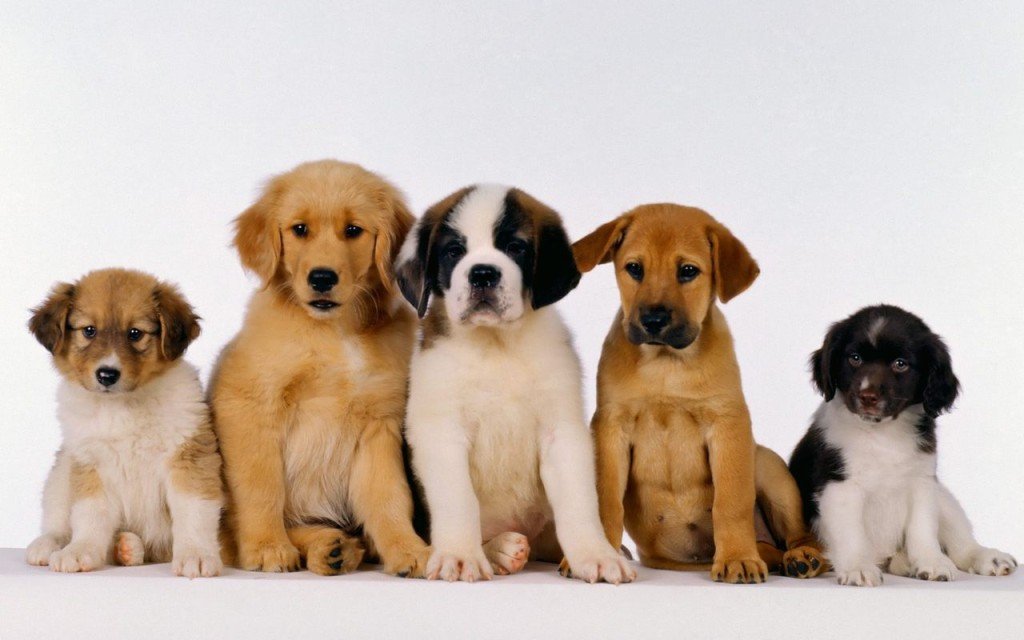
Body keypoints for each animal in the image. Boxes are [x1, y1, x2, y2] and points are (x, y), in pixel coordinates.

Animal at [25, 266, 222, 577]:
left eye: (135, 333)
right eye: (89, 330)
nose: (107, 374)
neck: (122, 407)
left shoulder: (188, 456)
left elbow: (193, 511)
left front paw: (196, 554)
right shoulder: (90, 463)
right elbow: (89, 515)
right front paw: (80, 551)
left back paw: (128, 548)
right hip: (61, 470)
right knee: (57, 518)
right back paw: (49, 545)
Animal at [209, 159, 430, 573]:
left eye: (353, 230)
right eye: (300, 229)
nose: (322, 277)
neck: (333, 333)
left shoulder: (379, 424)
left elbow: (389, 497)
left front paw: (408, 549)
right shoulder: (250, 407)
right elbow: (262, 487)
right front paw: (266, 546)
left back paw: (338, 548)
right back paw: (323, 545)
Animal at [395, 184, 634, 585]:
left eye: (515, 248)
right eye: (454, 251)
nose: (482, 274)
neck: (497, 345)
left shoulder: (562, 433)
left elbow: (578, 502)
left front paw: (595, 555)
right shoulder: (441, 432)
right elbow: (458, 499)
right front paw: (461, 555)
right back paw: (499, 549)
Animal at [577, 205, 823, 585]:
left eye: (688, 271)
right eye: (634, 268)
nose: (653, 319)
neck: (667, 364)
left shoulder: (728, 424)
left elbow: (731, 502)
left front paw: (737, 557)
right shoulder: (610, 426)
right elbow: (606, 501)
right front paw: (600, 556)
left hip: (767, 465)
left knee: (802, 535)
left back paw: (800, 557)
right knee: (771, 550)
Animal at [790, 303, 1015, 585]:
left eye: (900, 364)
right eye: (855, 358)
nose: (867, 396)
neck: (883, 434)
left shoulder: (922, 482)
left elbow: (922, 528)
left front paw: (932, 562)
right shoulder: (839, 485)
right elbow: (850, 532)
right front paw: (857, 566)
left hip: (944, 497)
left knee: (962, 541)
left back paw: (987, 557)